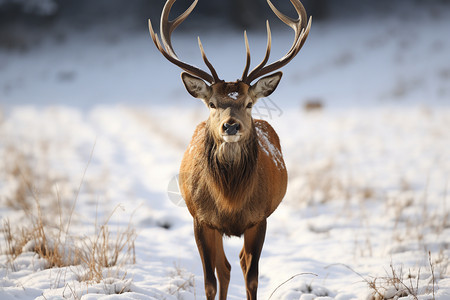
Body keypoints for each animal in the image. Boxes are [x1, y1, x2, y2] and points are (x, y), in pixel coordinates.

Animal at [149, 0, 312, 298]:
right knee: (224, 268)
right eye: (212, 103)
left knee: (238, 263)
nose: (231, 126)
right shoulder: (200, 219)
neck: (230, 202)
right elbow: (209, 282)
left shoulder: (259, 218)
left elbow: (252, 278)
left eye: (248, 103)